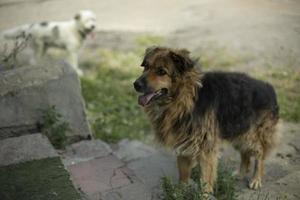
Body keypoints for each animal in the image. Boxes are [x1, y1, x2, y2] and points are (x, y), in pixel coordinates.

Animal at [133, 46, 278, 192]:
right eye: (146, 66)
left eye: (161, 71)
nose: (135, 84)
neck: (186, 100)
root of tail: (269, 88)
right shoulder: (183, 143)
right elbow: (183, 173)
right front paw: (180, 192)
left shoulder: (206, 148)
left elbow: (205, 180)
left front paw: (204, 194)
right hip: (238, 131)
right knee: (245, 153)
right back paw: (241, 173)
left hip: (251, 134)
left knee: (259, 153)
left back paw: (256, 179)